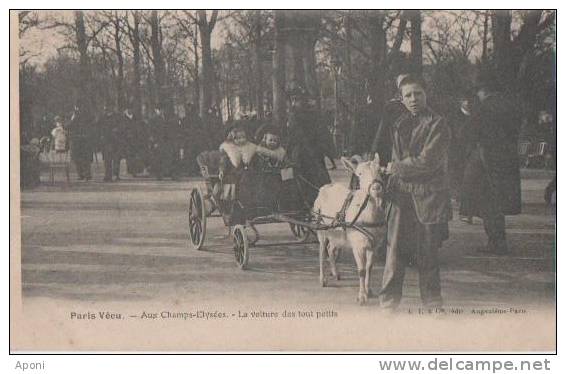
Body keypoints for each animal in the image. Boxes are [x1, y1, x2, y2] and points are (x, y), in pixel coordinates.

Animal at [312, 154, 388, 304]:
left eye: (380, 170)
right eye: (359, 174)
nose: (376, 188)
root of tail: (324, 187)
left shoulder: (374, 245)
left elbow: (369, 267)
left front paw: (369, 291)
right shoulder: (358, 245)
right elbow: (361, 270)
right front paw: (362, 297)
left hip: (336, 233)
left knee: (331, 248)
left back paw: (336, 273)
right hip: (321, 227)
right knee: (322, 251)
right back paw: (323, 279)